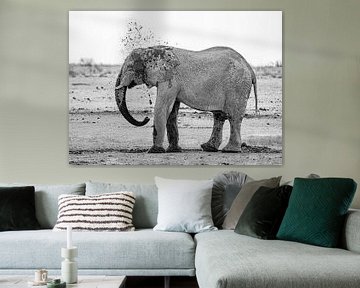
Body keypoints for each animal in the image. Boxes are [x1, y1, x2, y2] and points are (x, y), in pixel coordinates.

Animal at [114, 45, 258, 153]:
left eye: (130, 66)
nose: (146, 118)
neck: (153, 49)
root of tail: (249, 68)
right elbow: (172, 112)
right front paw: (174, 150)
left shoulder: (170, 79)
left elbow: (162, 107)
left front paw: (154, 151)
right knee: (219, 116)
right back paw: (208, 148)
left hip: (237, 86)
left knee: (233, 116)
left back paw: (230, 150)